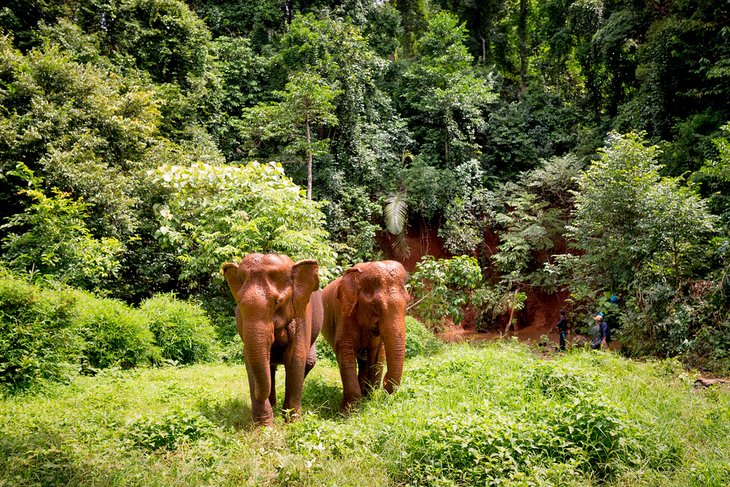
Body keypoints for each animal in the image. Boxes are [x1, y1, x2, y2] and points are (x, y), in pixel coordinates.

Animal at [220, 255, 320, 428]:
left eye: (277, 302)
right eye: (239, 303)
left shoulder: (302, 314)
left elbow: (295, 359)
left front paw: (292, 423)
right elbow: (250, 361)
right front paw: (264, 427)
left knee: (308, 362)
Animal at [320, 262, 406, 410]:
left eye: (408, 302)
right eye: (375, 306)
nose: (385, 380)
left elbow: (376, 353)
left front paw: (368, 399)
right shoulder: (345, 314)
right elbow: (345, 350)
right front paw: (349, 411)